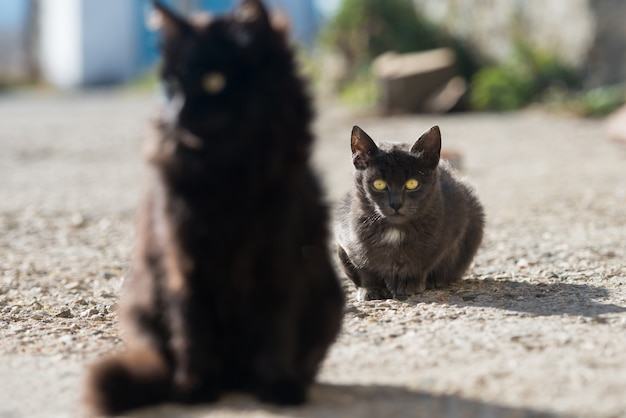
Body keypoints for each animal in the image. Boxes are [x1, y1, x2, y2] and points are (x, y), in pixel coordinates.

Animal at [84, 0, 342, 414]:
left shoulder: (279, 259)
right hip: (141, 303)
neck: (226, 170)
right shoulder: (184, 259)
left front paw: (277, 386)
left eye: (213, 81)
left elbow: (275, 328)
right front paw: (195, 388)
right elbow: (192, 326)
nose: (177, 111)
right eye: (170, 86)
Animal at [332, 124, 482, 300]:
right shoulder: (346, 237)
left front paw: (409, 283)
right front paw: (371, 288)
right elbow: (365, 266)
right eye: (378, 184)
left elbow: (424, 261)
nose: (396, 203)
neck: (395, 230)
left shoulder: (453, 227)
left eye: (412, 183)